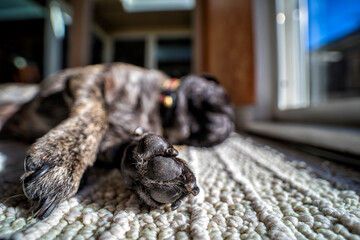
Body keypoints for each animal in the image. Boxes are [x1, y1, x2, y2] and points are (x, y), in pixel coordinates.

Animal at [0, 63, 233, 219]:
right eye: (219, 98)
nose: (226, 124)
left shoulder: (113, 146)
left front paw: (153, 167)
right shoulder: (91, 77)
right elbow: (98, 112)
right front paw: (63, 161)